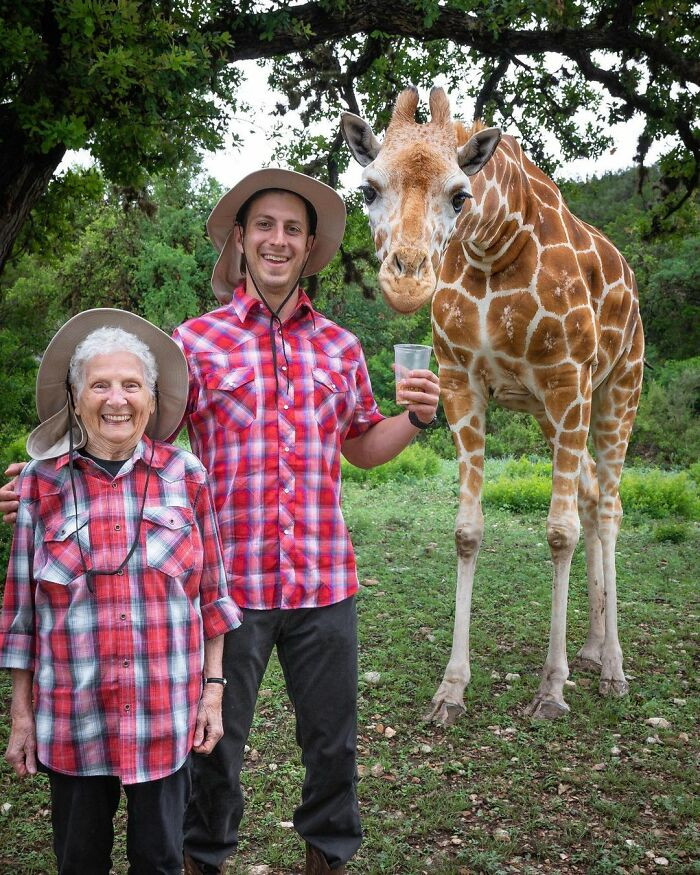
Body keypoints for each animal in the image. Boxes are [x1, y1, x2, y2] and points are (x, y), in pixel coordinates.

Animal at [340, 85, 644, 724]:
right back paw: (591, 648)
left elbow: (558, 532)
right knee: (590, 497)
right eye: (368, 188)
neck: (493, 246)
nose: (407, 282)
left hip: (616, 386)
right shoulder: (462, 383)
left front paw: (550, 689)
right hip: (555, 416)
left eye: (460, 194)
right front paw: (451, 689)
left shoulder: (567, 379)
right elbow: (467, 531)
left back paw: (613, 669)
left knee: (607, 509)